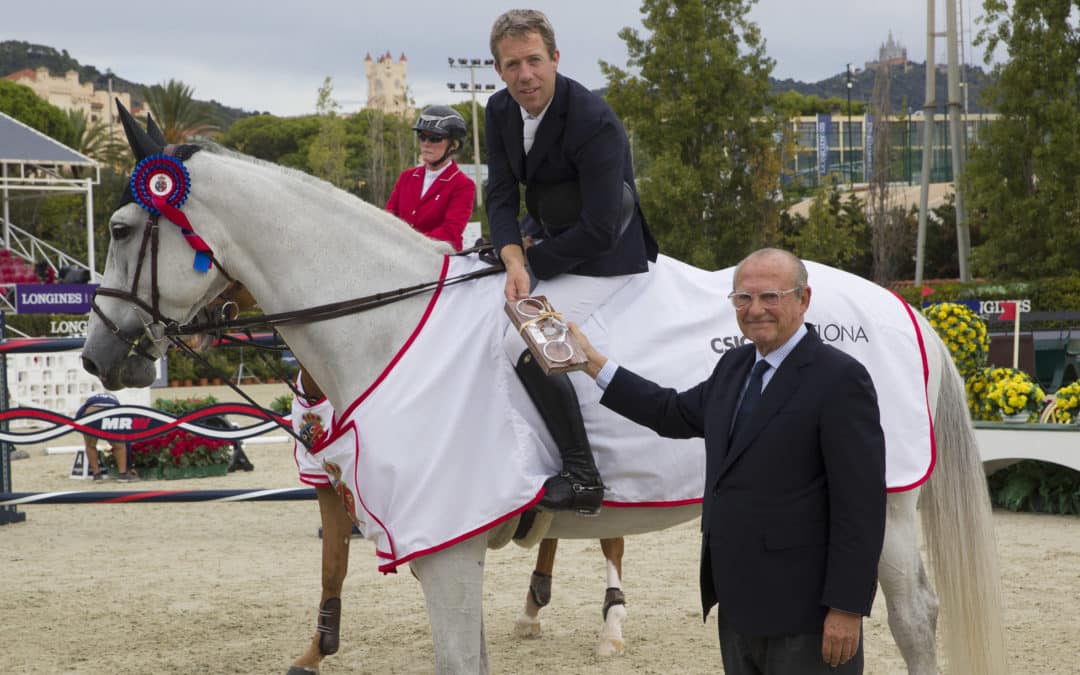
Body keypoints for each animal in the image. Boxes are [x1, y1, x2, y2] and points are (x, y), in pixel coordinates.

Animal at [82, 113, 1002, 669]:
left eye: (122, 228)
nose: (95, 355)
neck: (388, 323)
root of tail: (905, 310)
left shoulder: (446, 550)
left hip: (884, 500)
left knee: (911, 616)